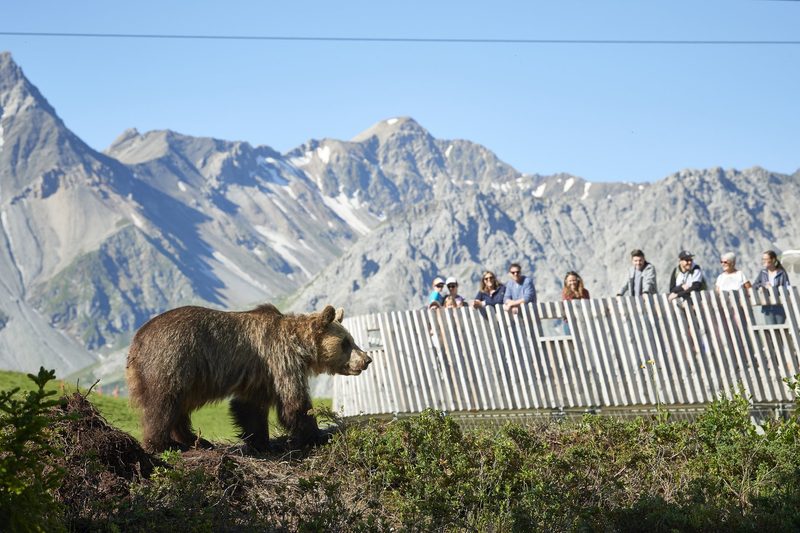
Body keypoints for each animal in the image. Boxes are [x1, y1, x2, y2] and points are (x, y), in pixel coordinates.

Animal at [125, 303, 371, 453]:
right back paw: (163, 443)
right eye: (346, 342)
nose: (366, 359)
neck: (300, 347)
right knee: (164, 403)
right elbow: (294, 403)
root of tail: (137, 341)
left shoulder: (261, 374)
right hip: (173, 360)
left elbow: (250, 407)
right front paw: (317, 435)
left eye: (352, 340)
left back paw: (197, 440)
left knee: (178, 407)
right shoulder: (280, 360)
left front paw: (260, 440)